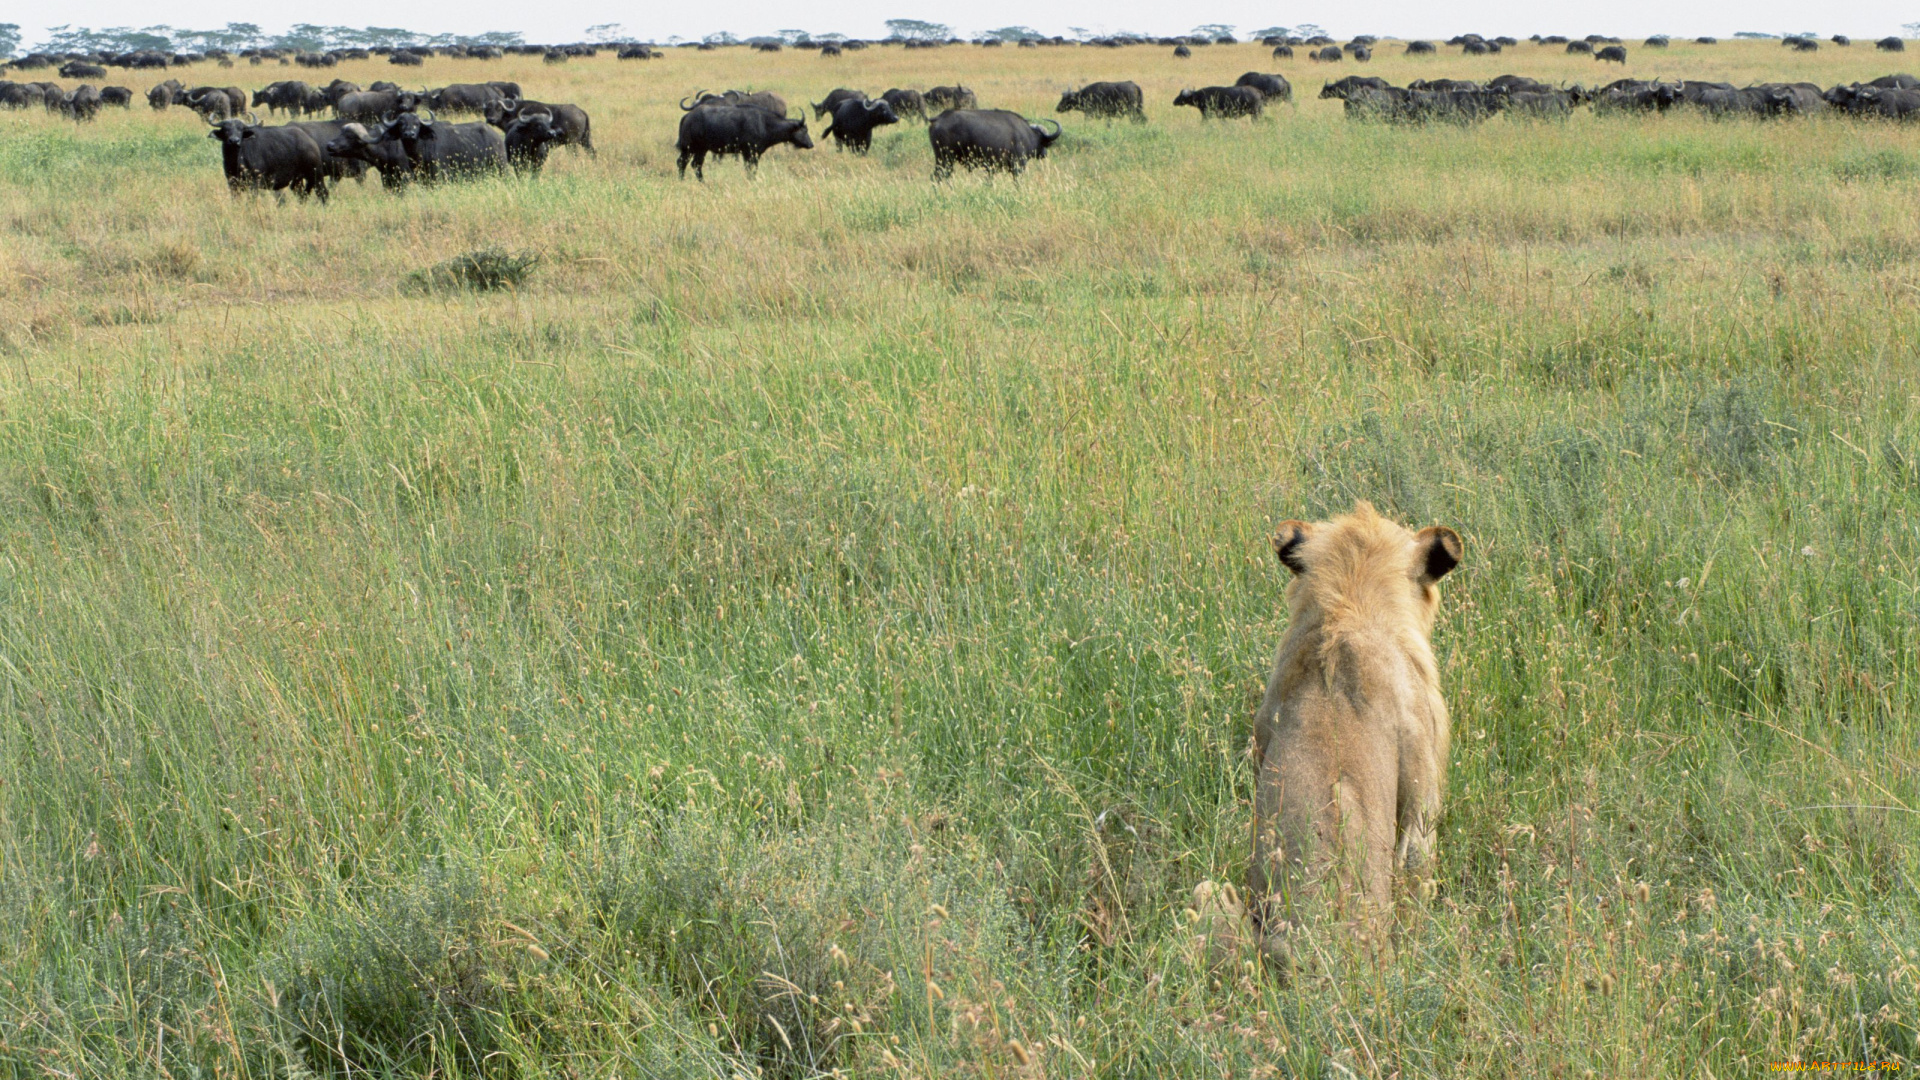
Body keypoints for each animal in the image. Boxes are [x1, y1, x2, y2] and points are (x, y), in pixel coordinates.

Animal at [675, 102, 810, 178]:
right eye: (804, 131)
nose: (811, 144)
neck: (764, 124)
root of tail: (688, 116)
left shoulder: (752, 154)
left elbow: (750, 169)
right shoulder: (750, 153)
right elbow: (751, 169)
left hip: (701, 150)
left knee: (696, 165)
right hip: (689, 148)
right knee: (682, 163)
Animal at [925, 107, 1059, 178]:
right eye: (1043, 143)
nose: (1045, 153)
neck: (1027, 134)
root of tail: (938, 118)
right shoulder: (1018, 165)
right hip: (945, 159)